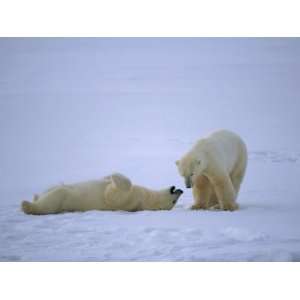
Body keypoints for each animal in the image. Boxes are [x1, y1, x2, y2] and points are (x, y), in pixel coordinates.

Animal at [21, 173, 183, 216]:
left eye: (173, 202)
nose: (180, 190)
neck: (146, 198)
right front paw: (107, 177)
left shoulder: (132, 199)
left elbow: (114, 195)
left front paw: (115, 175)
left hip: (62, 199)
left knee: (51, 200)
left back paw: (26, 204)